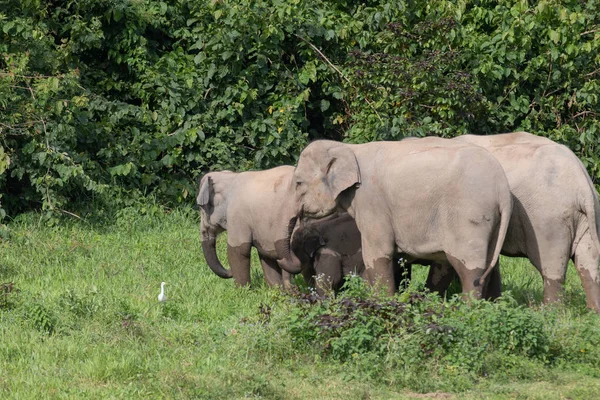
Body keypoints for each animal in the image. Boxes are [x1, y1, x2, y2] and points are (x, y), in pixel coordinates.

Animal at [278, 139, 512, 298]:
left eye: (298, 183)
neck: (349, 148)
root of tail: (503, 189)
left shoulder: (371, 202)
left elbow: (377, 253)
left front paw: (382, 303)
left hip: (468, 216)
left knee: (469, 269)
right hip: (492, 220)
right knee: (489, 265)